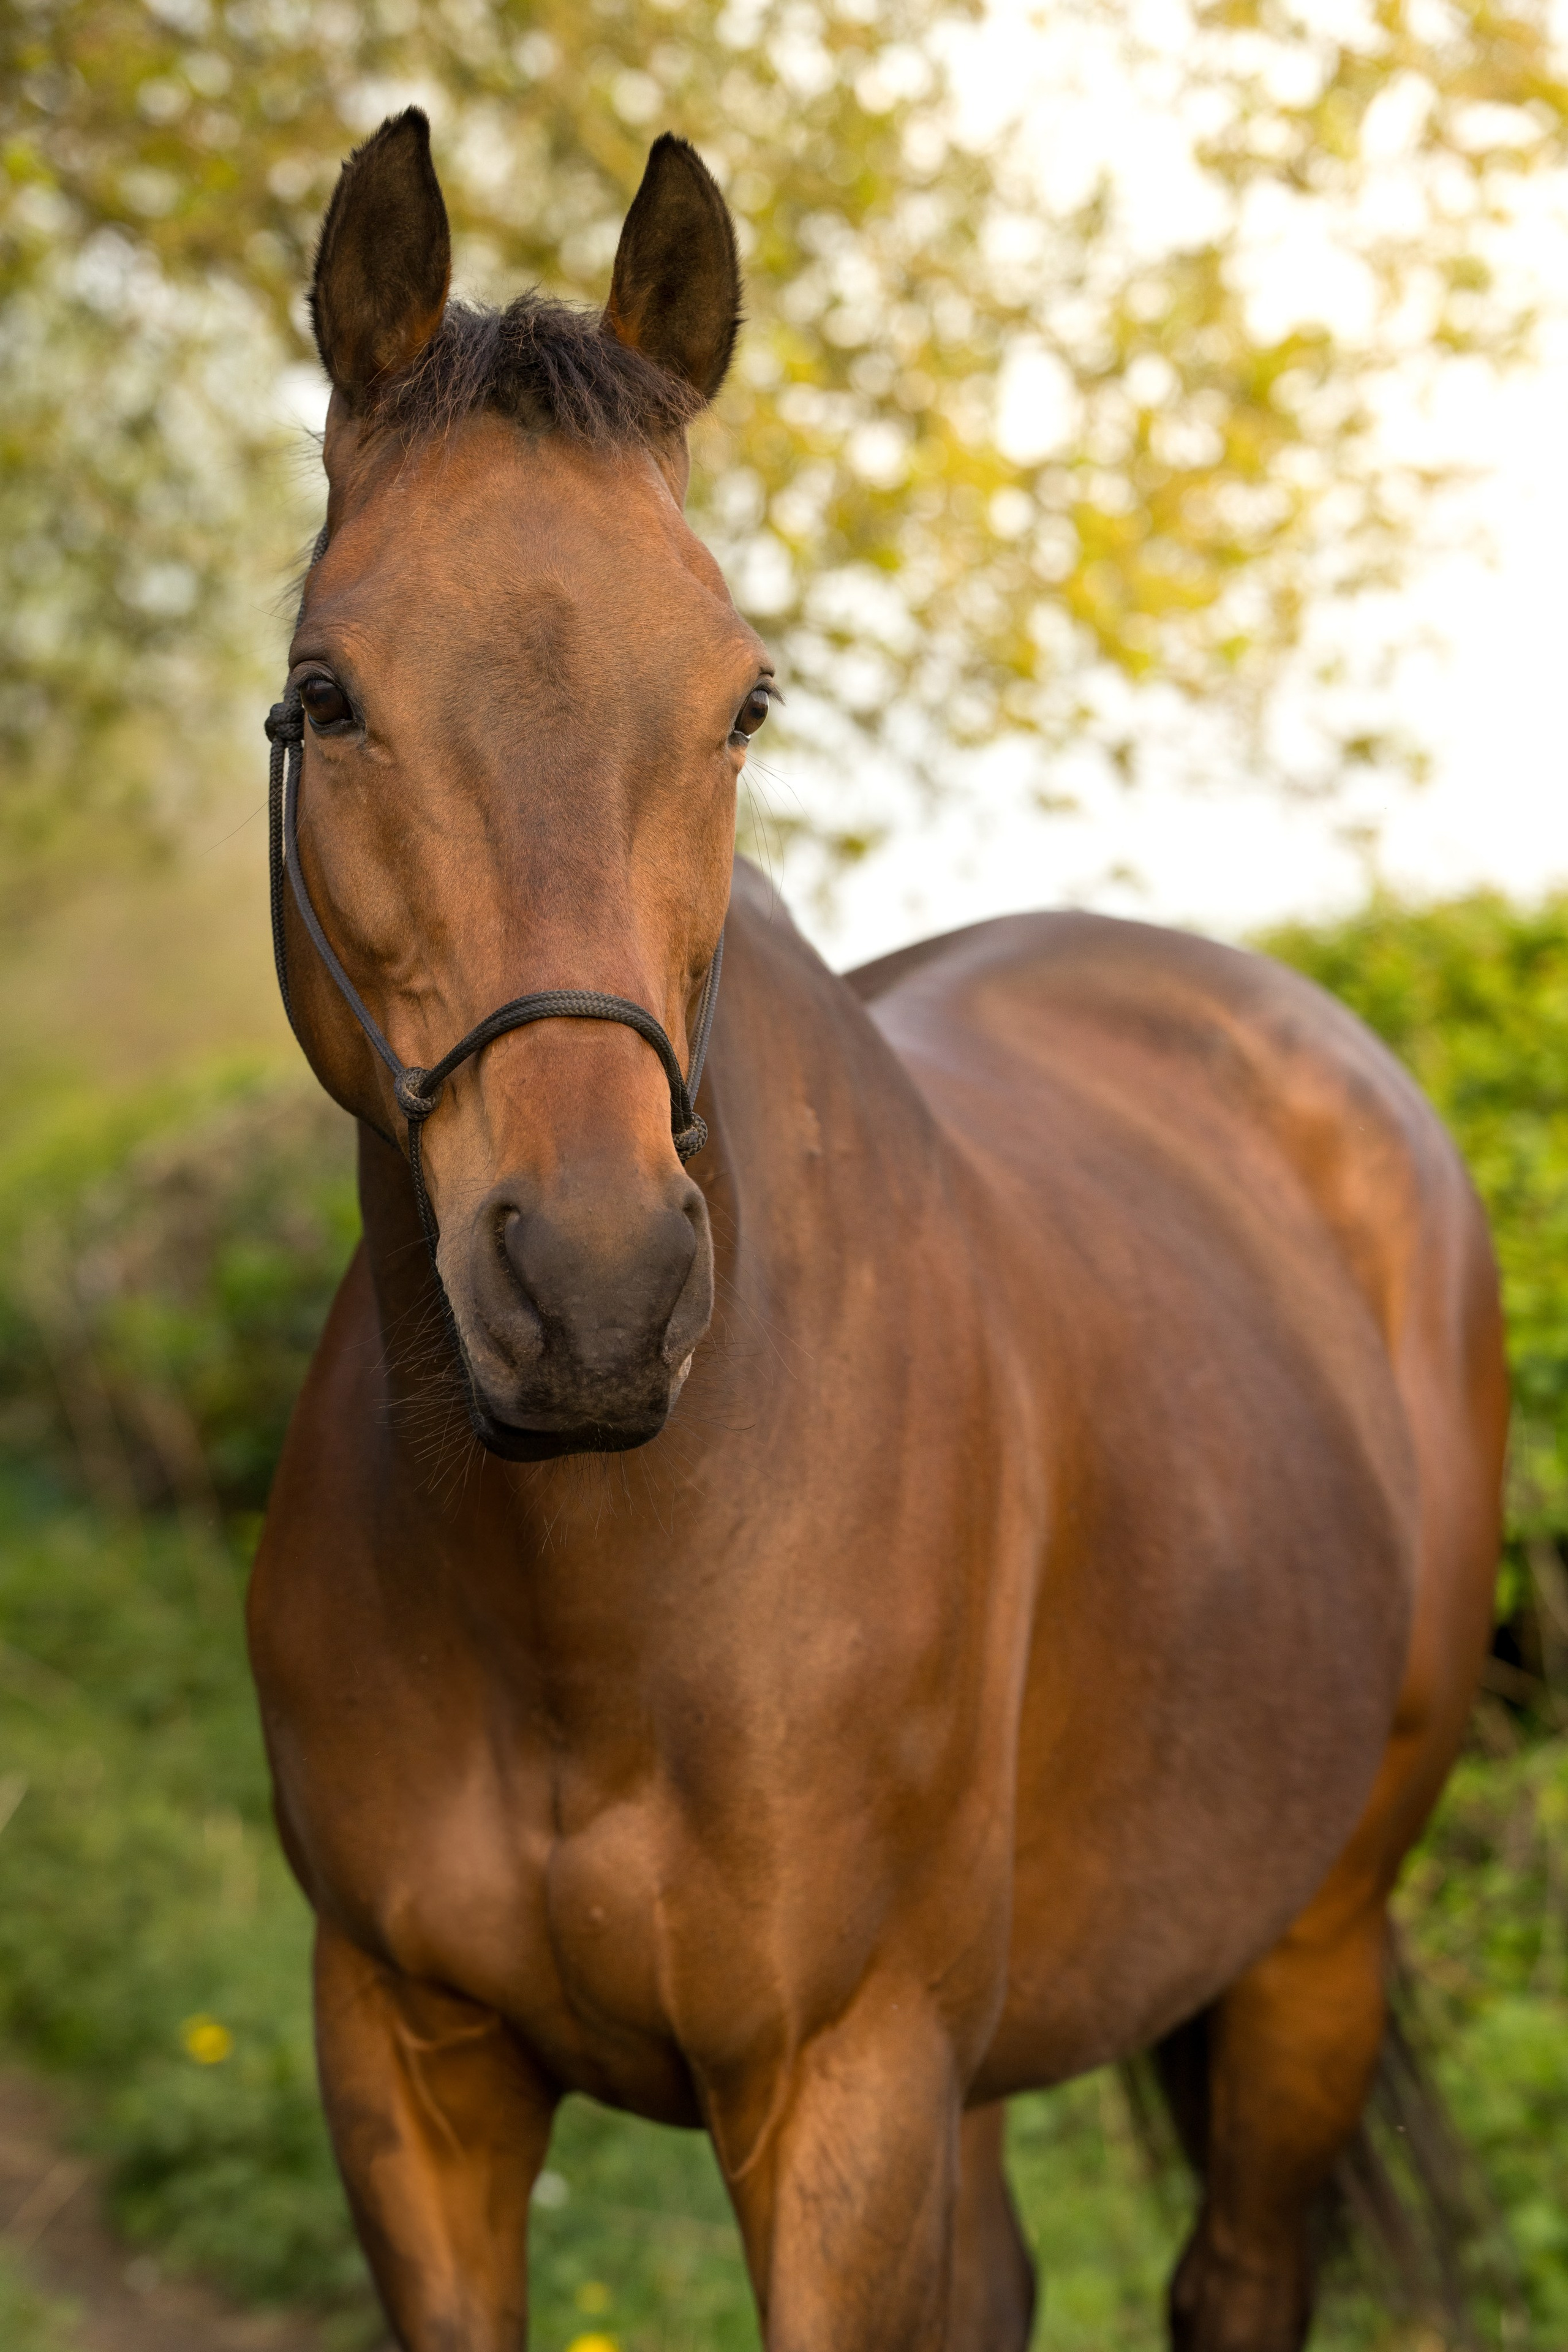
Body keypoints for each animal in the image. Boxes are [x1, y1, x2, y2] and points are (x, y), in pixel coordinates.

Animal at [250, 109, 1508, 2352]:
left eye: (744, 701)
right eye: (332, 692)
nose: (594, 1296)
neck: (592, 1600)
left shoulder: (840, 2090)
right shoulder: (405, 2063)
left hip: (1313, 1948)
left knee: (1242, 2270)